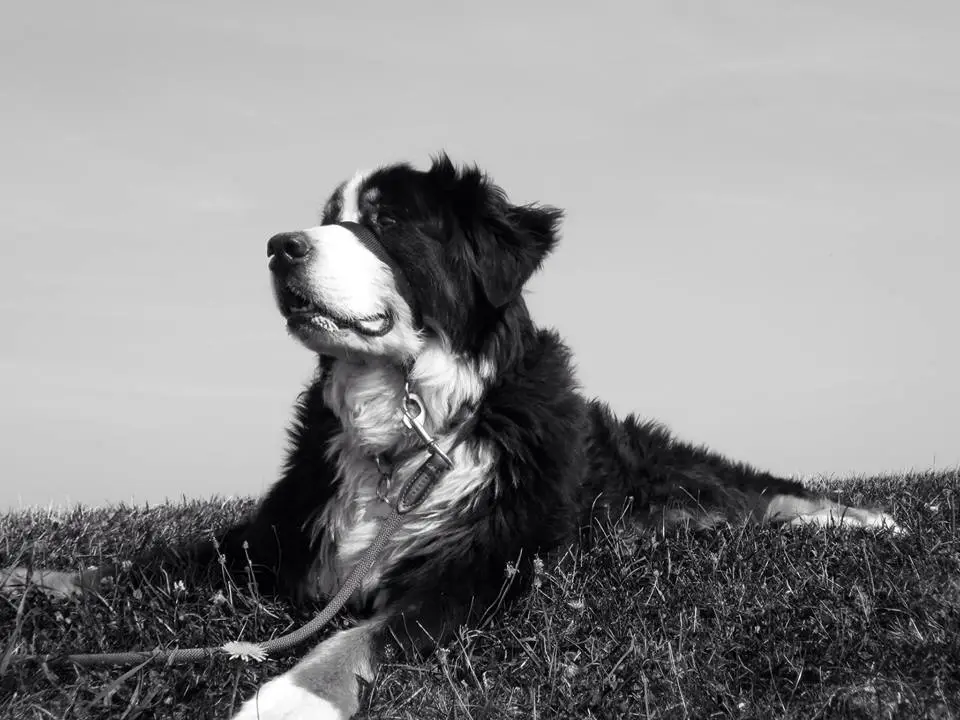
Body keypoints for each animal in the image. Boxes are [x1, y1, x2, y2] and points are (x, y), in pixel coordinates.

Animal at [1, 155, 900, 716]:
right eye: (326, 219)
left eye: (387, 221)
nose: (279, 247)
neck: (404, 425)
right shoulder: (276, 534)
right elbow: (137, 564)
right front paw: (27, 577)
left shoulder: (477, 565)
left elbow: (356, 637)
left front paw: (286, 696)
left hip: (678, 476)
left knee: (758, 493)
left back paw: (867, 519)